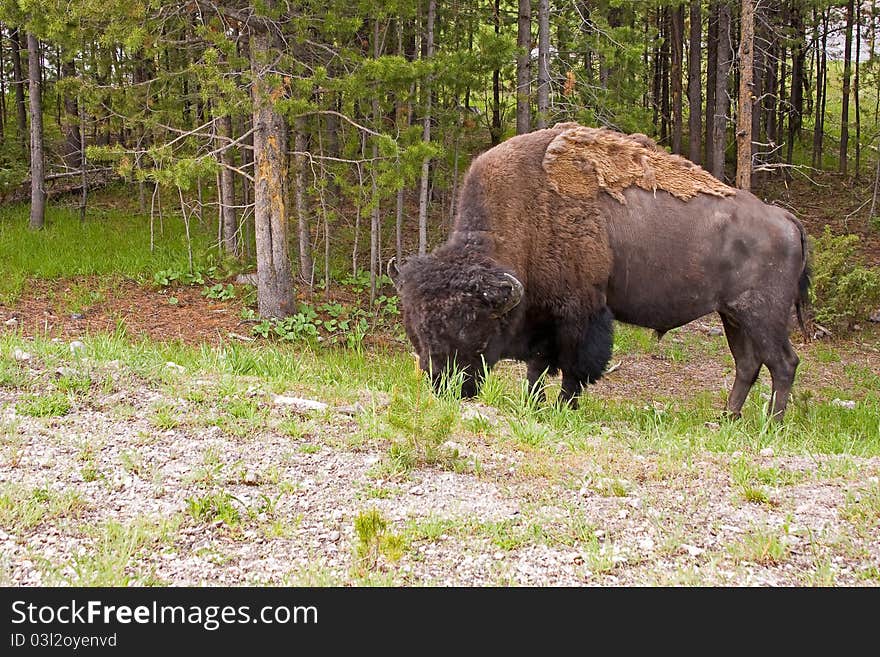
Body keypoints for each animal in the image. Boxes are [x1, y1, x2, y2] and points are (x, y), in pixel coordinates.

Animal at [392, 122, 812, 418]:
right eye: (416, 330)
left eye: (470, 328)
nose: (445, 387)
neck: (527, 215)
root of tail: (785, 218)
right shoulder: (544, 317)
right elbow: (537, 369)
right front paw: (534, 404)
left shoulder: (580, 313)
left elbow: (573, 368)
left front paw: (563, 407)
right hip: (733, 316)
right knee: (748, 363)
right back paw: (727, 417)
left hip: (763, 314)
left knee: (783, 363)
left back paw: (771, 423)